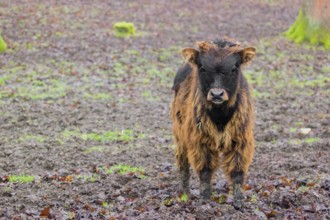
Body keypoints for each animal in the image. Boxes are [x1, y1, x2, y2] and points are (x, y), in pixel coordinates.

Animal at [171, 38, 256, 205]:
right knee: (183, 163)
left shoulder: (241, 140)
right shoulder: (199, 140)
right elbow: (205, 171)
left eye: (234, 68)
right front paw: (204, 200)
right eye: (203, 68)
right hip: (180, 134)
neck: (220, 116)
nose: (217, 94)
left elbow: (237, 171)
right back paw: (184, 193)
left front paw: (239, 202)